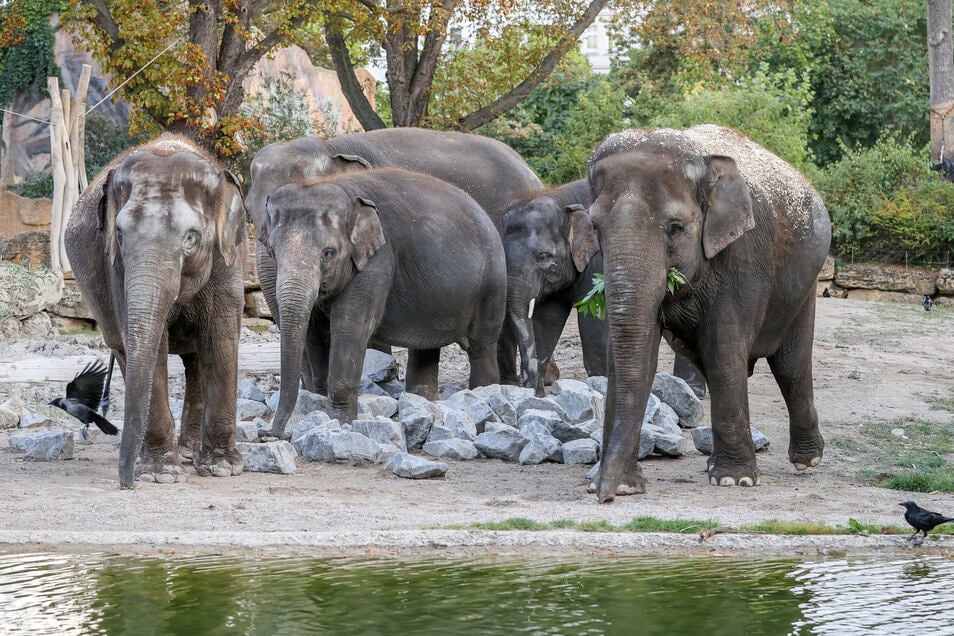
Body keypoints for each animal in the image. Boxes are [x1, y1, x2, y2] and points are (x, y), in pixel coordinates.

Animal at [64, 137, 247, 490]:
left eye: (191, 237)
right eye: (120, 234)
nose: (126, 484)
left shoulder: (228, 260)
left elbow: (221, 336)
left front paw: (222, 469)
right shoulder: (116, 268)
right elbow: (151, 346)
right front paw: (160, 475)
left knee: (196, 358)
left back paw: (191, 453)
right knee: (126, 350)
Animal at [258, 166, 506, 434]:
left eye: (328, 253)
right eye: (272, 252)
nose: (273, 432)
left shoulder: (378, 259)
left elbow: (350, 326)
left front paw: (341, 423)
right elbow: (313, 331)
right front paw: (320, 411)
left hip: (492, 285)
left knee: (481, 347)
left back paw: (482, 393)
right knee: (426, 349)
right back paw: (422, 403)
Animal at [498, 179, 604, 396]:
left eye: (543, 257)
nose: (527, 386)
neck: (562, 199)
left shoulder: (598, 261)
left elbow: (594, 319)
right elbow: (548, 321)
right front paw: (538, 397)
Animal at [584, 124, 828, 502]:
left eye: (675, 227)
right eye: (595, 226)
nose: (605, 496)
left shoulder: (744, 255)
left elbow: (723, 349)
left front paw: (734, 481)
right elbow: (637, 353)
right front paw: (620, 484)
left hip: (804, 287)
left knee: (790, 365)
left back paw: (807, 461)